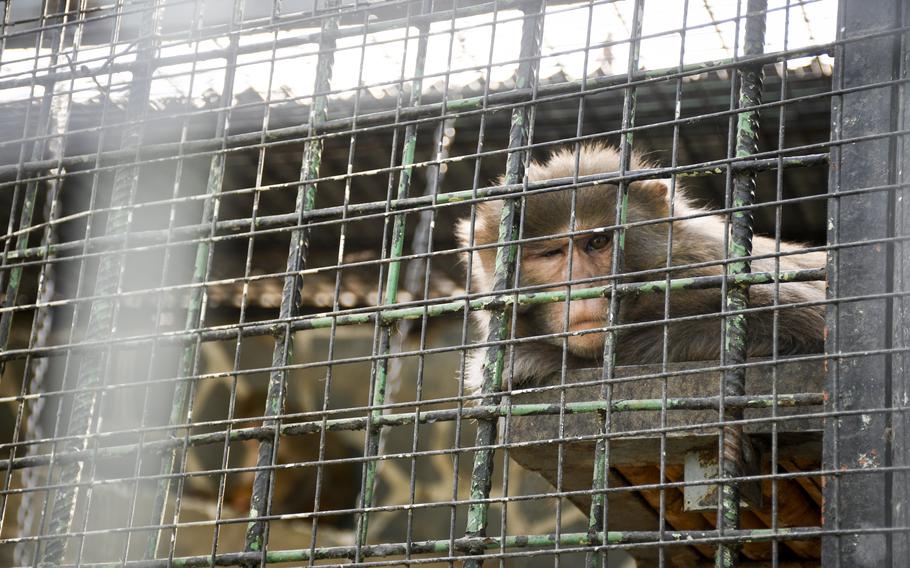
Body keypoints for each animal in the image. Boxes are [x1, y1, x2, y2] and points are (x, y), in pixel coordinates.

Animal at [456, 143, 828, 390]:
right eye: (552, 254)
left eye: (597, 242)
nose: (582, 286)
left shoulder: (699, 267)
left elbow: (810, 321)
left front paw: (531, 359)